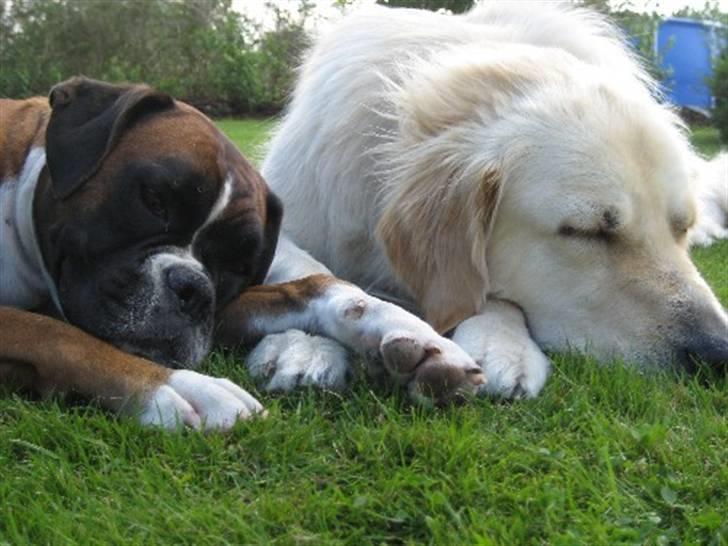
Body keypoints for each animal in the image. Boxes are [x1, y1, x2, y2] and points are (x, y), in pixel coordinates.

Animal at [1, 76, 490, 430]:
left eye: (236, 264)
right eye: (154, 200)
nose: (193, 288)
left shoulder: (222, 311)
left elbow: (309, 287)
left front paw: (412, 335)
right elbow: (56, 334)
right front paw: (173, 387)